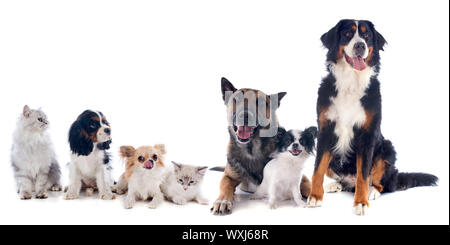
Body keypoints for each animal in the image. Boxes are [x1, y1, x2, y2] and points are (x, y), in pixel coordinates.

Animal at [210, 77, 310, 215]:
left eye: (261, 103)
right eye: (237, 99)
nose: (245, 115)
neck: (252, 150)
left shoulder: (301, 177)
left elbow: (308, 186)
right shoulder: (228, 176)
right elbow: (225, 186)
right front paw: (223, 200)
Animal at [308, 19, 438, 214]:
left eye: (366, 35)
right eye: (347, 34)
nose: (360, 45)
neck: (350, 82)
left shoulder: (367, 134)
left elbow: (363, 174)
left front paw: (361, 202)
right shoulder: (325, 129)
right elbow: (318, 168)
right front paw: (315, 196)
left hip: (387, 149)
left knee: (383, 183)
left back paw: (372, 191)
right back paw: (335, 185)